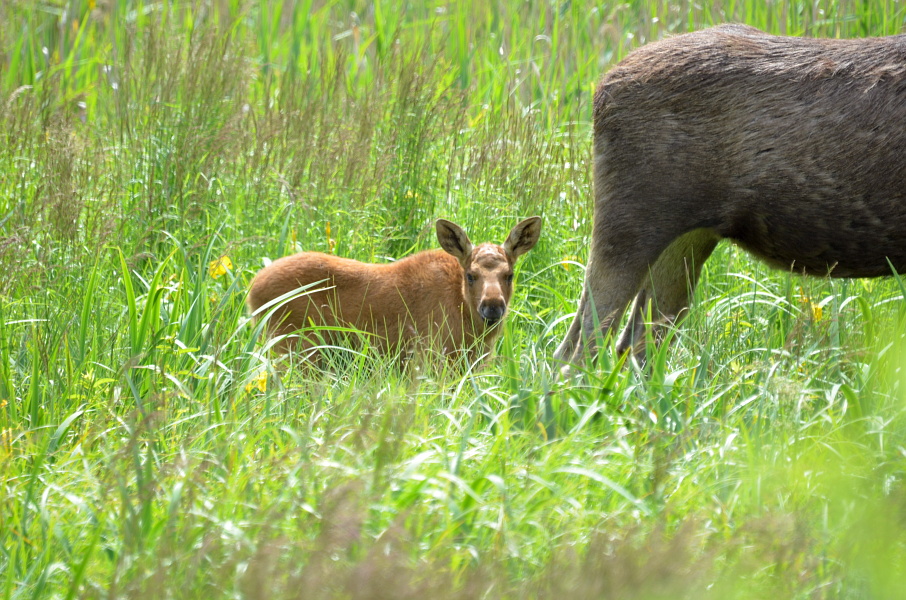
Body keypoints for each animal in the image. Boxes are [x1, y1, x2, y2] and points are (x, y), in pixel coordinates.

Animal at [248, 217, 542, 365]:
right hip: (295, 348)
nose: (492, 307)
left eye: (509, 275)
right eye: (471, 275)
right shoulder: (432, 358)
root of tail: (251, 292)